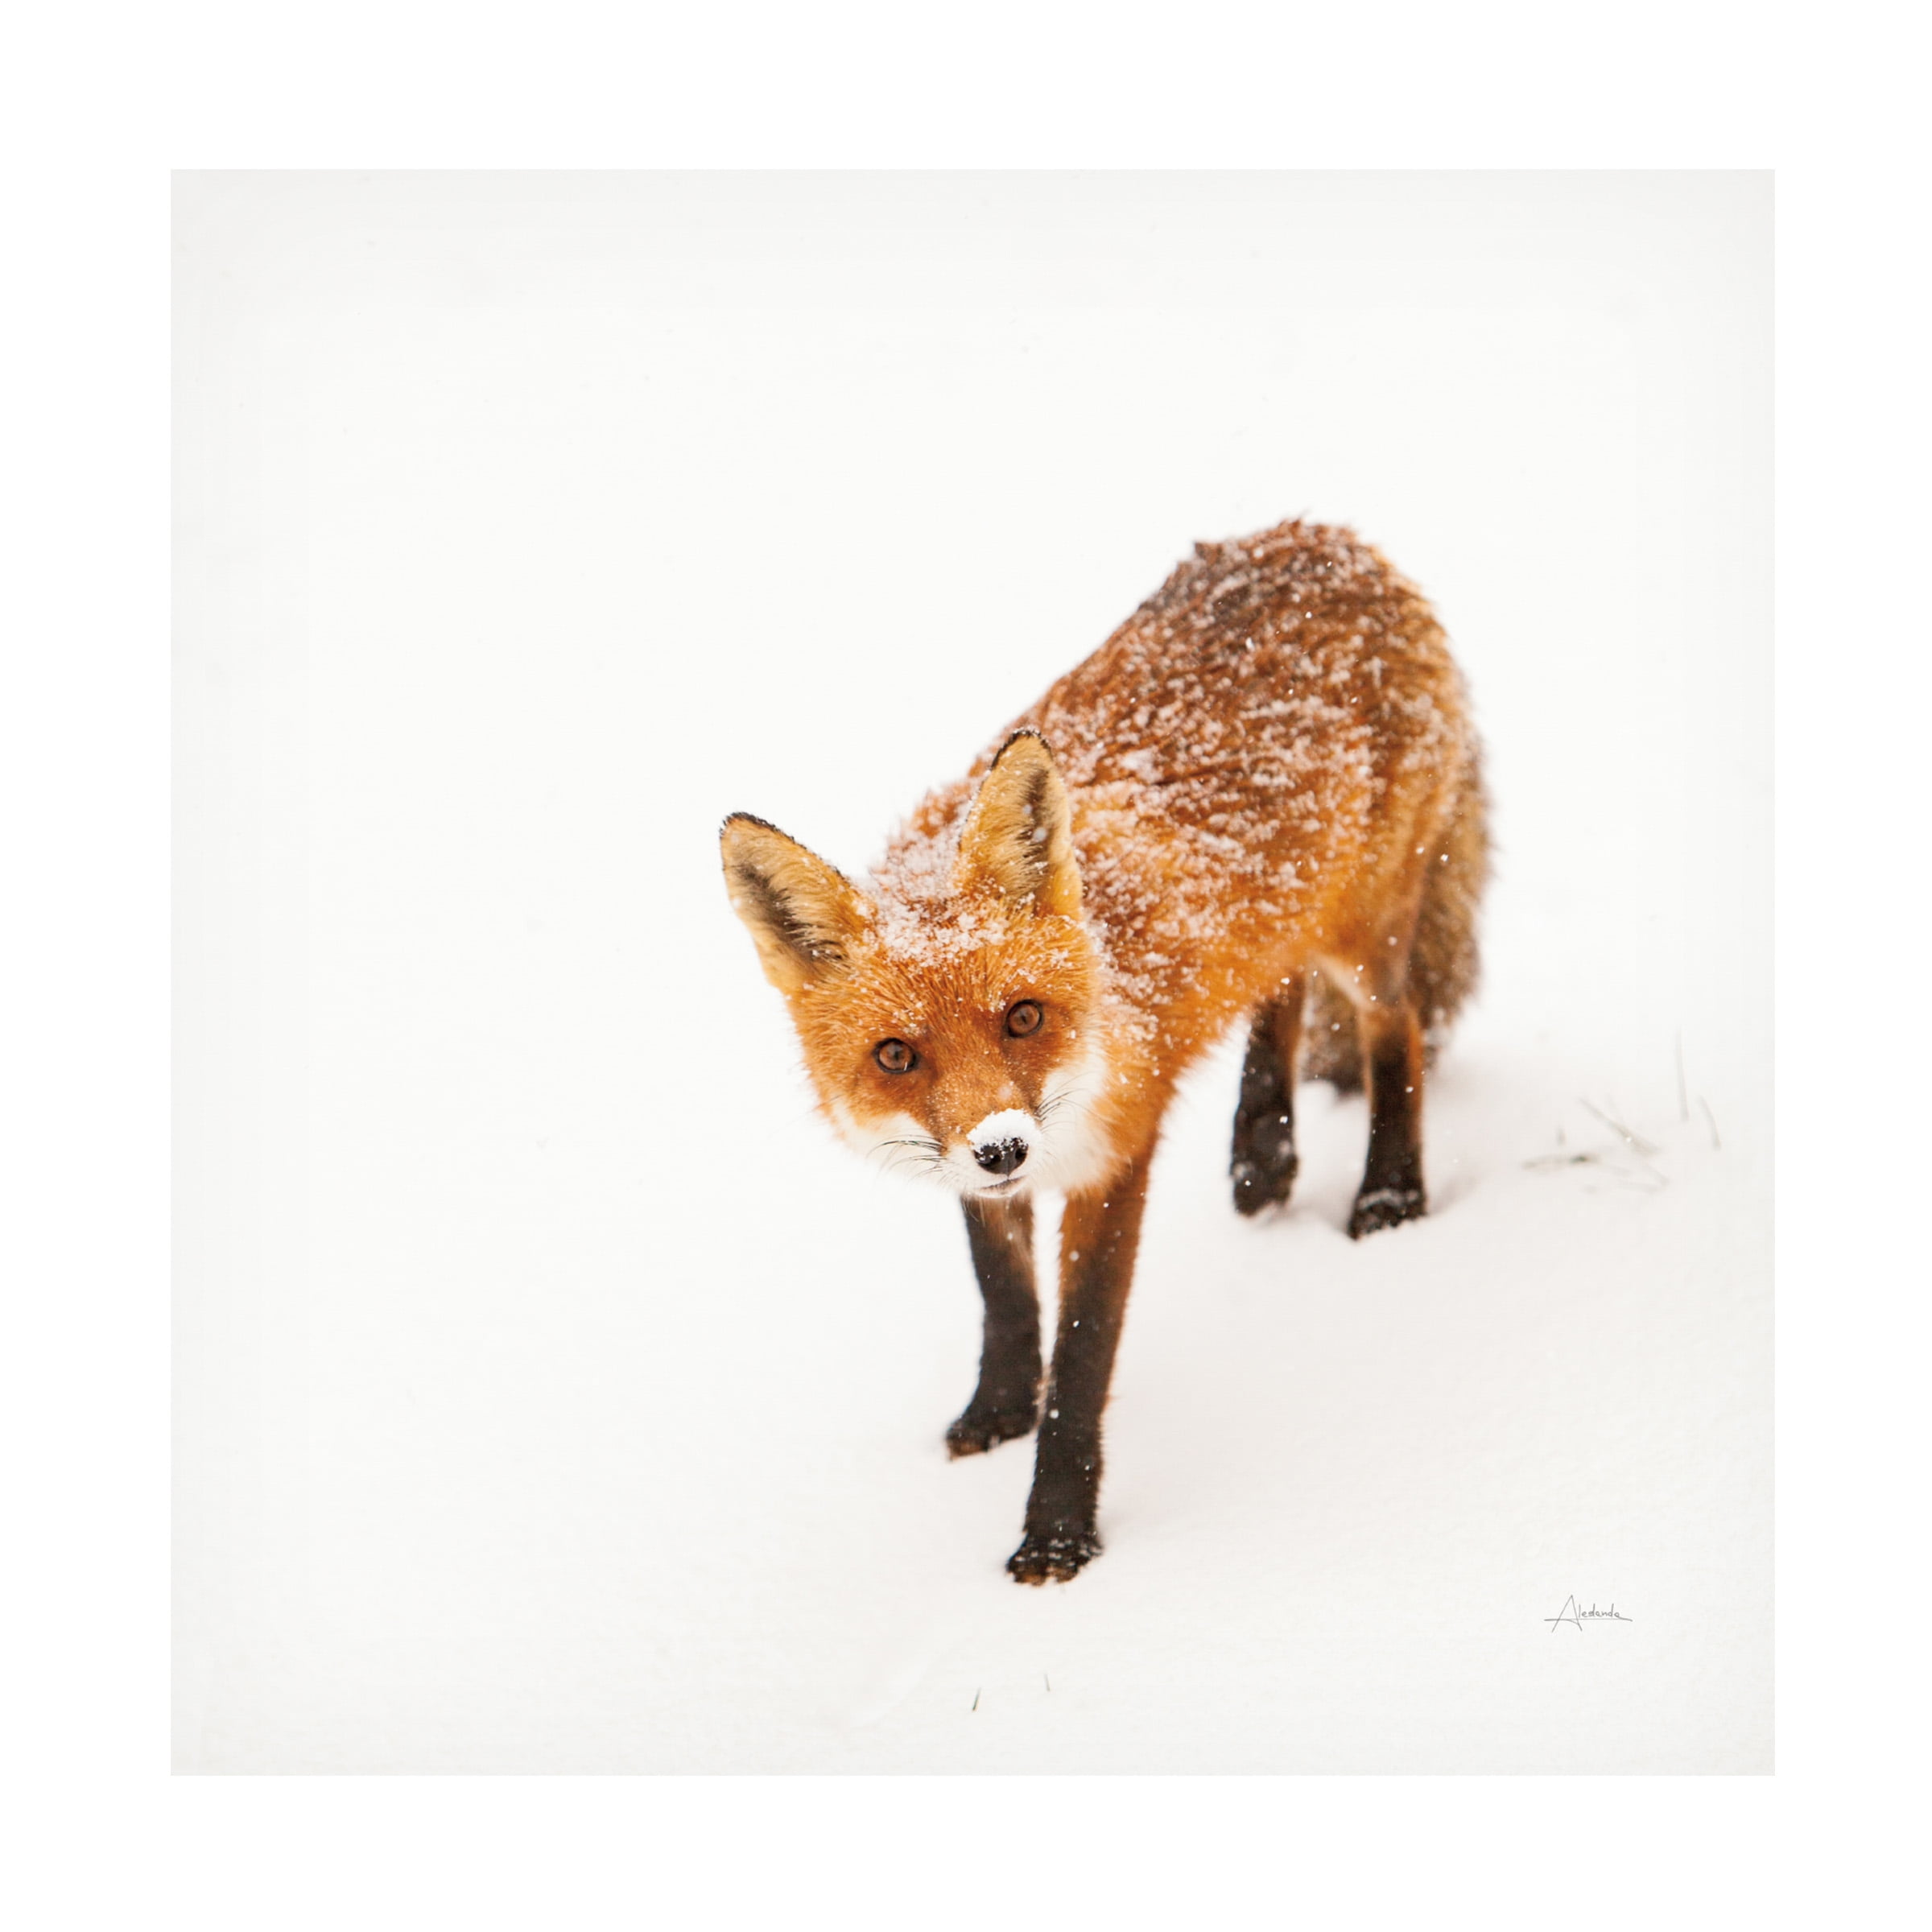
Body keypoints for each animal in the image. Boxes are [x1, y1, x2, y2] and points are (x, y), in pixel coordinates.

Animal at [721, 518, 1487, 1584]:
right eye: (897, 1056)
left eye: (1023, 1018)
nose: (1004, 1148)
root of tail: (1325, 535)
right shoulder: (976, 1170)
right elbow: (1004, 1297)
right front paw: (998, 1410)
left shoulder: (1117, 1154)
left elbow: (1082, 1357)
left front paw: (1057, 1533)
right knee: (1278, 987)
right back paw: (1263, 1154)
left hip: (1366, 934)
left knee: (1395, 1030)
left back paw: (1388, 1196)